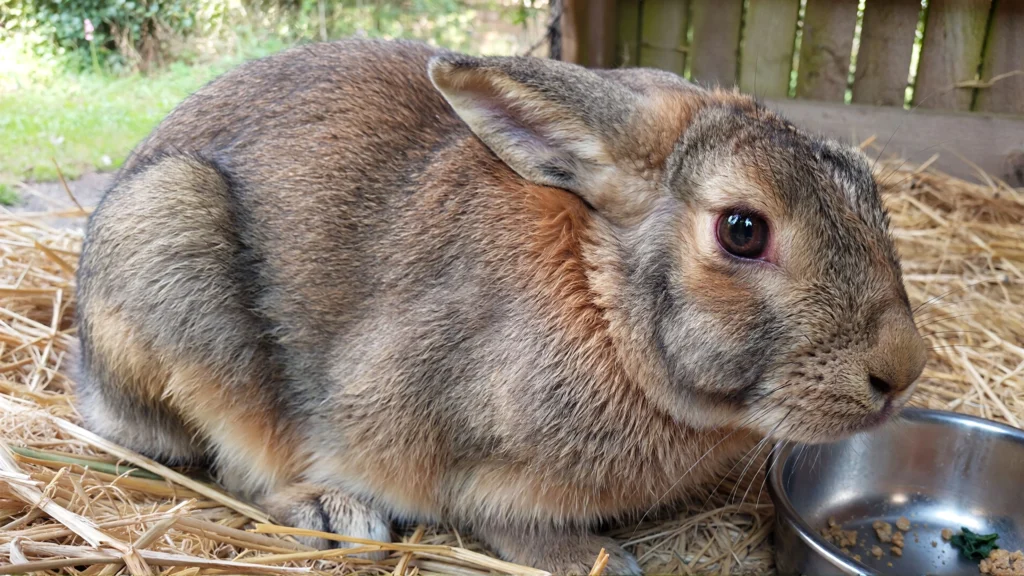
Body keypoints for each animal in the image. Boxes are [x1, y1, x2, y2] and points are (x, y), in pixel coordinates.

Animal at [75, 38, 927, 574]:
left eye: (866, 185)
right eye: (743, 230)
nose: (902, 370)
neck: (602, 305)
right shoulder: (443, 438)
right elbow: (498, 514)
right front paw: (592, 560)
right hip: (174, 264)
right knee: (229, 456)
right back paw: (330, 513)